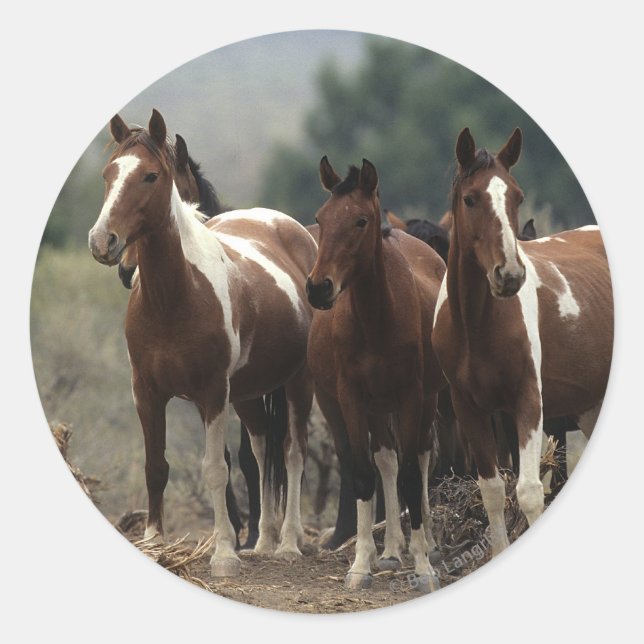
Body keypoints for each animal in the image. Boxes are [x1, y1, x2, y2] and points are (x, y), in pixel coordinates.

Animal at [88, 109, 316, 576]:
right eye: (109, 174)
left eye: (151, 176)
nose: (103, 242)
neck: (174, 297)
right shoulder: (147, 392)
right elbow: (156, 466)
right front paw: (155, 542)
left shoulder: (211, 394)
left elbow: (215, 469)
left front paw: (224, 553)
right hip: (248, 393)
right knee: (262, 449)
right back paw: (263, 541)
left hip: (297, 382)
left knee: (292, 452)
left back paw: (287, 543)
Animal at [306, 157, 447, 591]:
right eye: (320, 217)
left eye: (361, 220)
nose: (319, 288)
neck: (376, 319)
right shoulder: (351, 399)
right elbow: (366, 473)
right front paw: (361, 565)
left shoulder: (411, 396)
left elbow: (411, 476)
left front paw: (423, 567)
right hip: (368, 406)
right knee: (386, 459)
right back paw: (390, 552)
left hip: (425, 399)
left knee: (420, 457)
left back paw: (428, 544)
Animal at [432, 127, 613, 555]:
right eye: (470, 198)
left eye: (517, 196)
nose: (509, 274)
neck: (476, 327)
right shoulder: (471, 409)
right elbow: (494, 492)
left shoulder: (527, 400)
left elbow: (530, 492)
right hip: (590, 407)